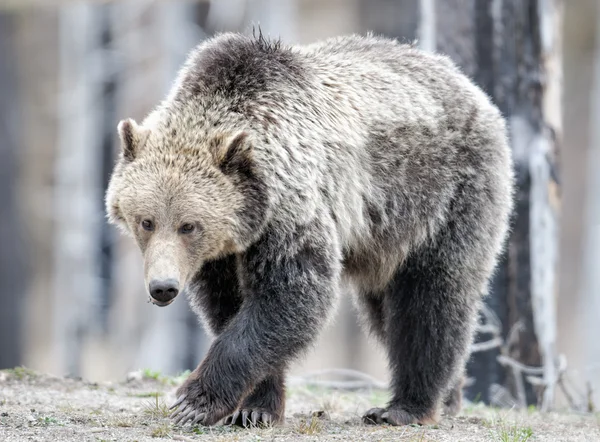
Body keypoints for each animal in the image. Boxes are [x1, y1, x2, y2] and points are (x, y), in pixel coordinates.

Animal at [105, 32, 512, 426]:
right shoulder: (222, 254)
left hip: (443, 196)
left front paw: (194, 402)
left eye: (189, 225)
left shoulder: (292, 209)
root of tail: (469, 85)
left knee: (430, 299)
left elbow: (293, 294)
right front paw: (254, 408)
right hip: (384, 238)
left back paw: (405, 407)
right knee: (385, 312)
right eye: (146, 221)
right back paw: (450, 395)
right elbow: (229, 306)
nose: (163, 287)